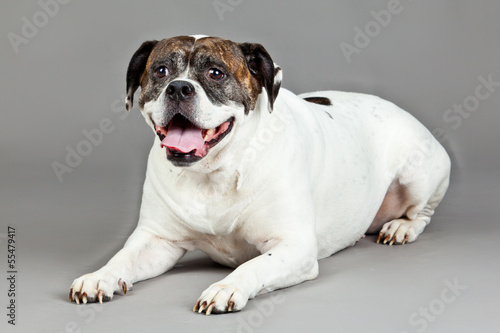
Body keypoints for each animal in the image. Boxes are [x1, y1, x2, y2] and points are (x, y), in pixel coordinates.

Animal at [69, 35, 450, 312]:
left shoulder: (293, 248)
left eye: (216, 73)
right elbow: (123, 257)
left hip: (418, 174)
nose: (178, 87)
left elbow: (254, 266)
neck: (215, 173)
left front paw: (226, 287)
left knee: (422, 213)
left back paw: (401, 227)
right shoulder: (157, 241)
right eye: (161, 71)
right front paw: (100, 276)